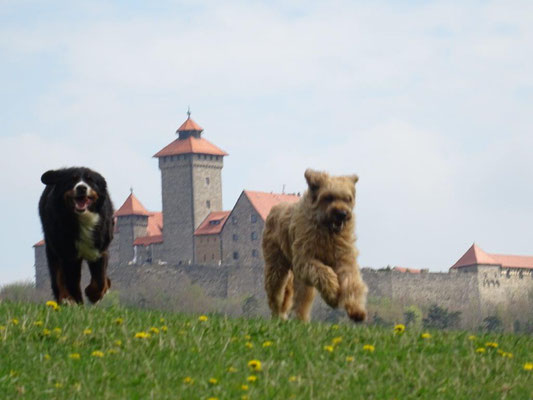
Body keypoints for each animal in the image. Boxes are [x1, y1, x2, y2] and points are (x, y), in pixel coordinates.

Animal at [39, 166, 114, 304]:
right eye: (72, 179)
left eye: (90, 180)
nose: (81, 188)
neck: (82, 219)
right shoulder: (68, 255)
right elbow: (71, 283)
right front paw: (77, 301)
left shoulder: (99, 249)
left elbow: (100, 280)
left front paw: (94, 294)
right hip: (53, 249)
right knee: (58, 277)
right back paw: (66, 300)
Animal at [260, 168, 366, 322]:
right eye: (328, 197)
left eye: (348, 198)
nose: (342, 213)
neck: (327, 230)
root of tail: (275, 208)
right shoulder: (305, 259)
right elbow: (324, 273)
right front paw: (333, 295)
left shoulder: (344, 258)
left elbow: (352, 281)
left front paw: (356, 309)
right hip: (276, 265)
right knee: (276, 293)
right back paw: (278, 316)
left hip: (301, 279)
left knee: (301, 300)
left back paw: (301, 321)